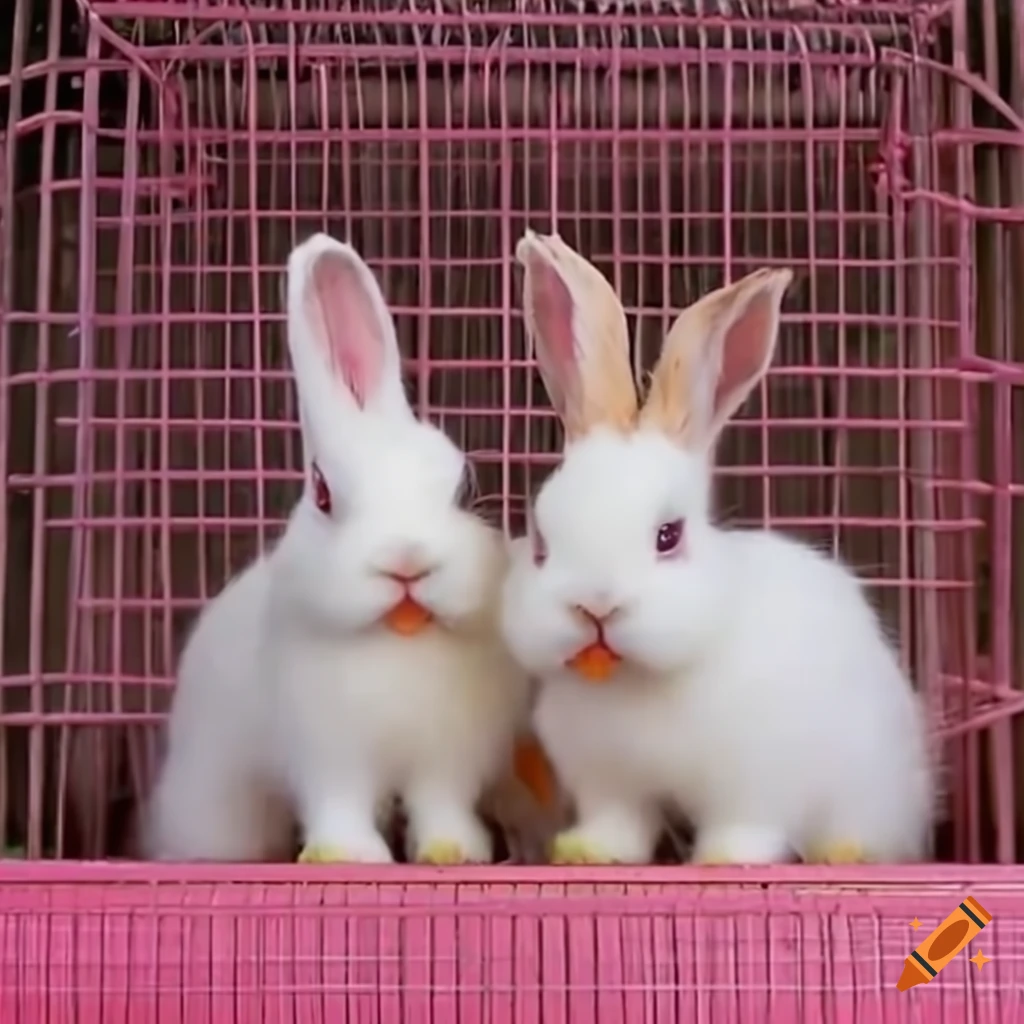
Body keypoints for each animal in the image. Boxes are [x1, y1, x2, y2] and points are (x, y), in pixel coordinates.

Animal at [145, 232, 534, 865]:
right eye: (324, 493)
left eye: (464, 489)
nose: (407, 561)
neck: (399, 643)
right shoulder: (329, 760)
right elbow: (340, 806)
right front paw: (350, 854)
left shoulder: (447, 763)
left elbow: (440, 805)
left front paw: (453, 851)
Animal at [498, 230, 934, 867]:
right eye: (540, 541)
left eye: (668, 535)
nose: (596, 607)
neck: (638, 681)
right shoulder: (609, 783)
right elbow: (620, 823)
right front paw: (587, 852)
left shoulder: (755, 781)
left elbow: (745, 825)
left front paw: (724, 859)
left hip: (871, 783)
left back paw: (845, 851)